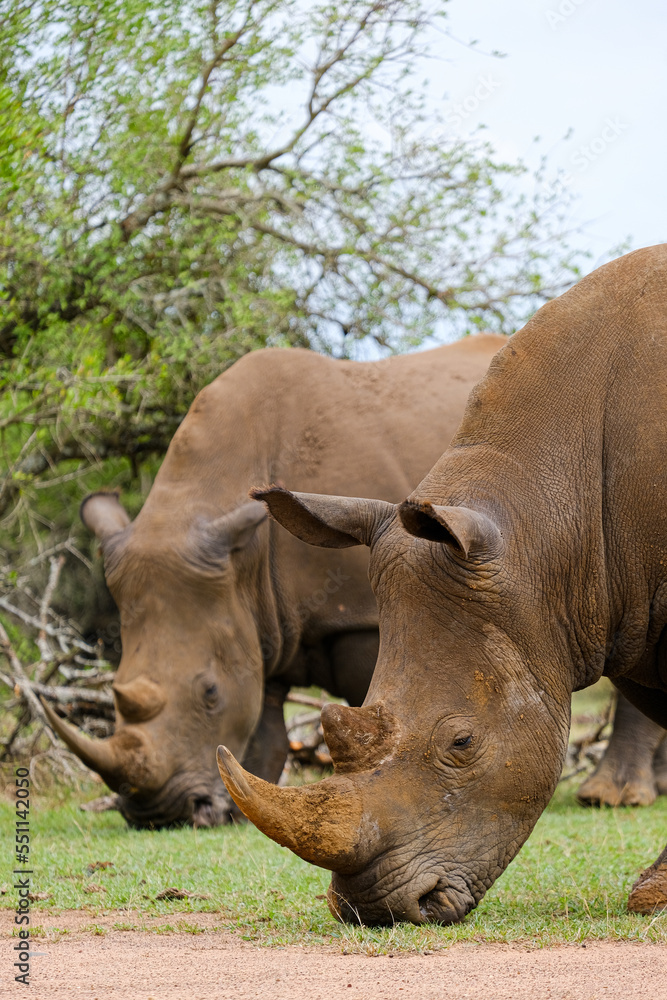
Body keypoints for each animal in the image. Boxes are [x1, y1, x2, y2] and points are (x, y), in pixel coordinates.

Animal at [42, 335, 506, 828]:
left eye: (209, 692)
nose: (159, 816)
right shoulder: (257, 618)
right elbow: (263, 730)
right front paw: (244, 812)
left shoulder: (362, 614)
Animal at [219, 245, 667, 922]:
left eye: (461, 742)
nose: (374, 909)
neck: (546, 536)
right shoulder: (625, 607)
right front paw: (657, 891)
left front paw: (654, 896)